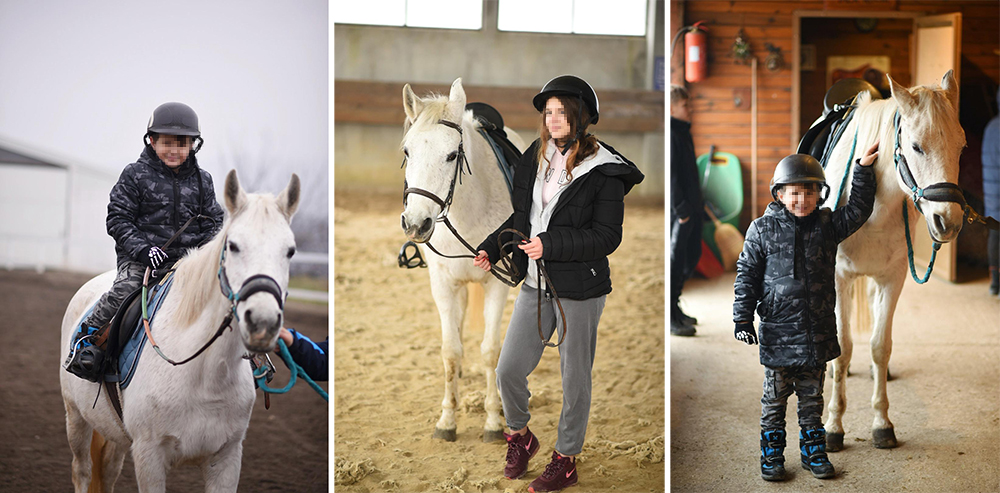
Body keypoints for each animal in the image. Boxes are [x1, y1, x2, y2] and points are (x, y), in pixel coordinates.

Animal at [59, 170, 298, 492]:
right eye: (233, 246)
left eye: (290, 251)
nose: (262, 321)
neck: (204, 373)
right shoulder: (148, 455)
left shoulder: (226, 458)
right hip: (76, 417)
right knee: (82, 471)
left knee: (106, 473)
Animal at [400, 78, 528, 442]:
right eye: (407, 152)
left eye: (452, 154)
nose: (416, 223)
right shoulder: (443, 284)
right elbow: (450, 351)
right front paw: (447, 420)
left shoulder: (496, 284)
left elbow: (490, 351)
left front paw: (494, 421)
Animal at [820, 71, 968, 452]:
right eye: (916, 147)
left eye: (961, 146)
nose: (948, 222)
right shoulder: (837, 278)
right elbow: (842, 349)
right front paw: (833, 426)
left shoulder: (893, 278)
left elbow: (879, 346)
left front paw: (882, 423)